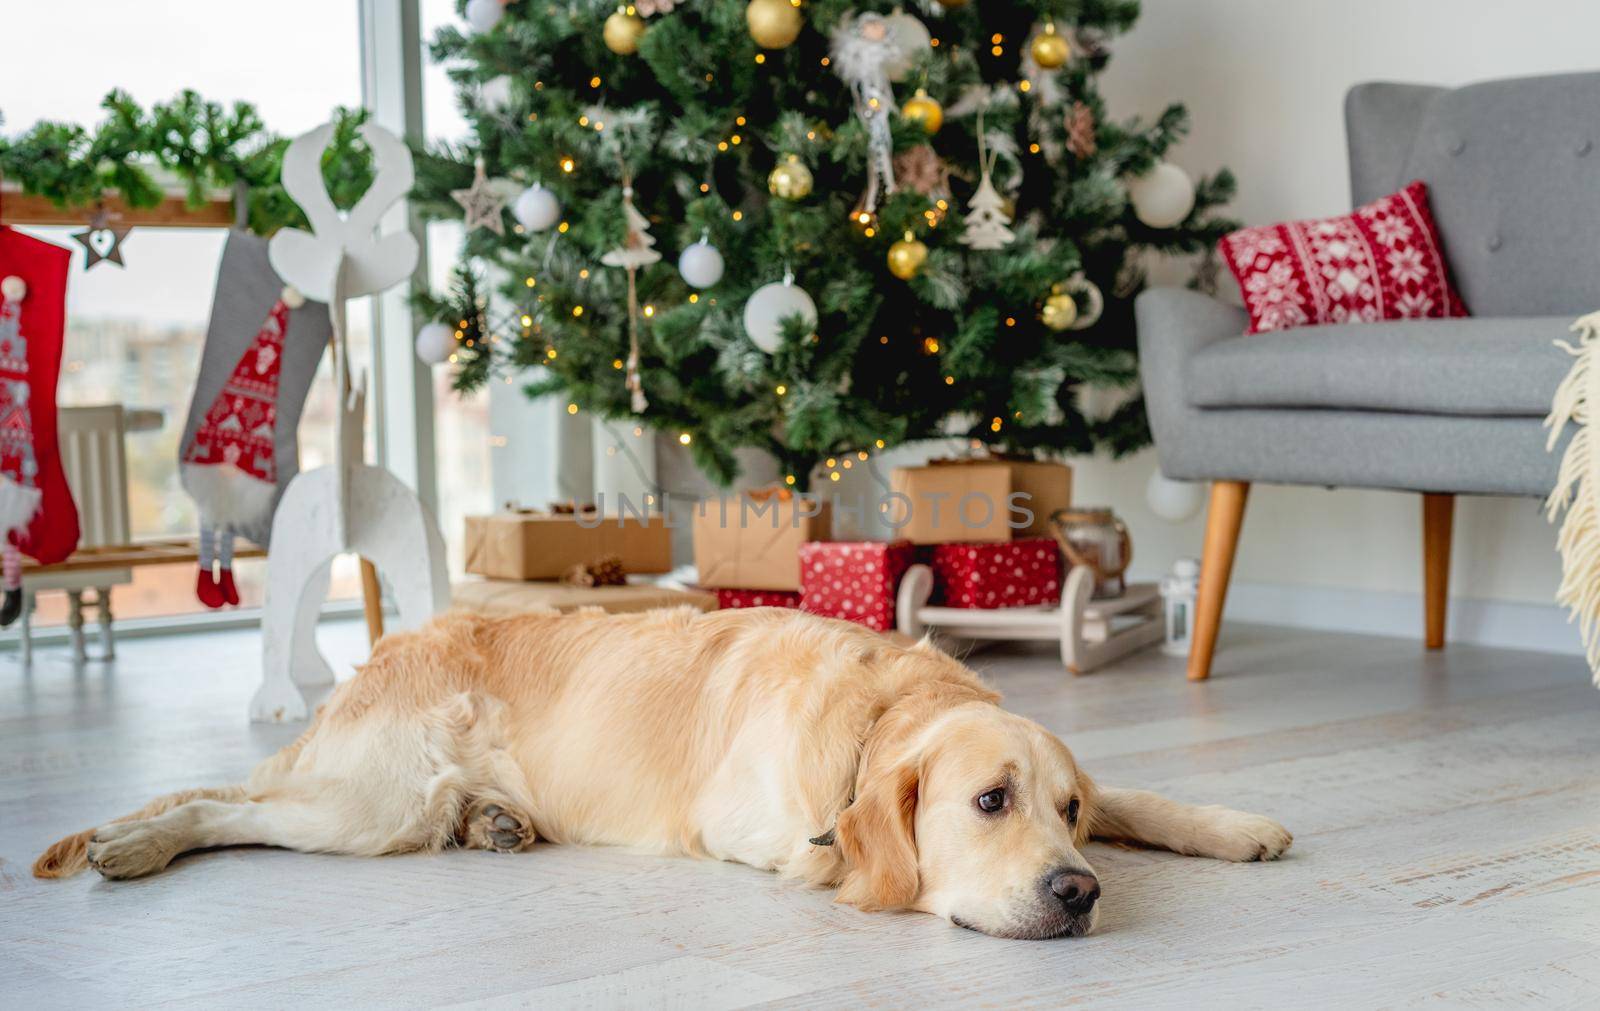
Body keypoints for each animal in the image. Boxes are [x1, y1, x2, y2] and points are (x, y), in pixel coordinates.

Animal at [34, 604, 1286, 934]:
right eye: (988, 803)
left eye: (1064, 808)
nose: (1078, 892)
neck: (882, 711)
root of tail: (386, 650)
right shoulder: (768, 829)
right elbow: (831, 859)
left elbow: (1142, 796)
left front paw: (1235, 826)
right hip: (365, 801)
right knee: (222, 804)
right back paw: (135, 841)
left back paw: (493, 823)